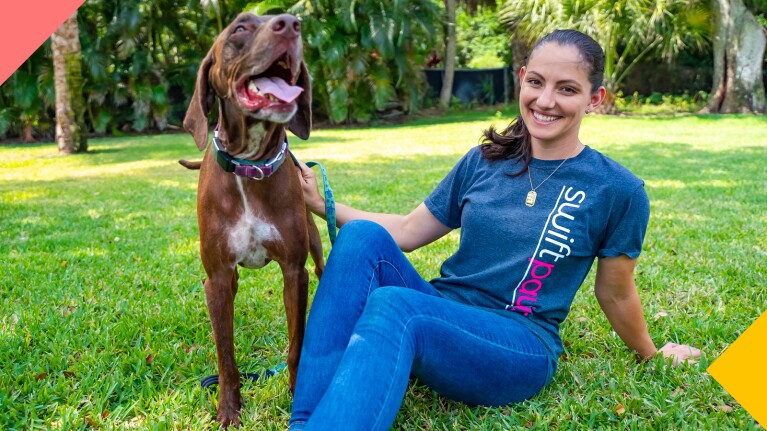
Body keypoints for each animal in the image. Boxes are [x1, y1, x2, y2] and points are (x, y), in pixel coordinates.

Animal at [181, 11, 324, 426]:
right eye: (240, 28)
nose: (291, 24)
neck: (249, 167)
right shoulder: (216, 279)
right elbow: (225, 356)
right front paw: (229, 410)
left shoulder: (294, 271)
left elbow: (296, 344)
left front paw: (295, 395)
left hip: (316, 245)